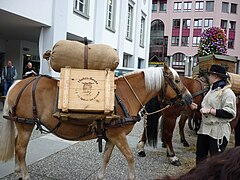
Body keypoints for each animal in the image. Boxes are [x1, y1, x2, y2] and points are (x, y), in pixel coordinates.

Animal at [0, 64, 191, 180]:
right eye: (177, 80)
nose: (189, 98)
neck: (124, 95)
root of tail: (19, 84)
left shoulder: (112, 136)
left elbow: (106, 157)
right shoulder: (118, 135)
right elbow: (130, 158)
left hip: (23, 124)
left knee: (17, 145)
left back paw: (17, 170)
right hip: (26, 125)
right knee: (21, 149)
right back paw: (25, 175)